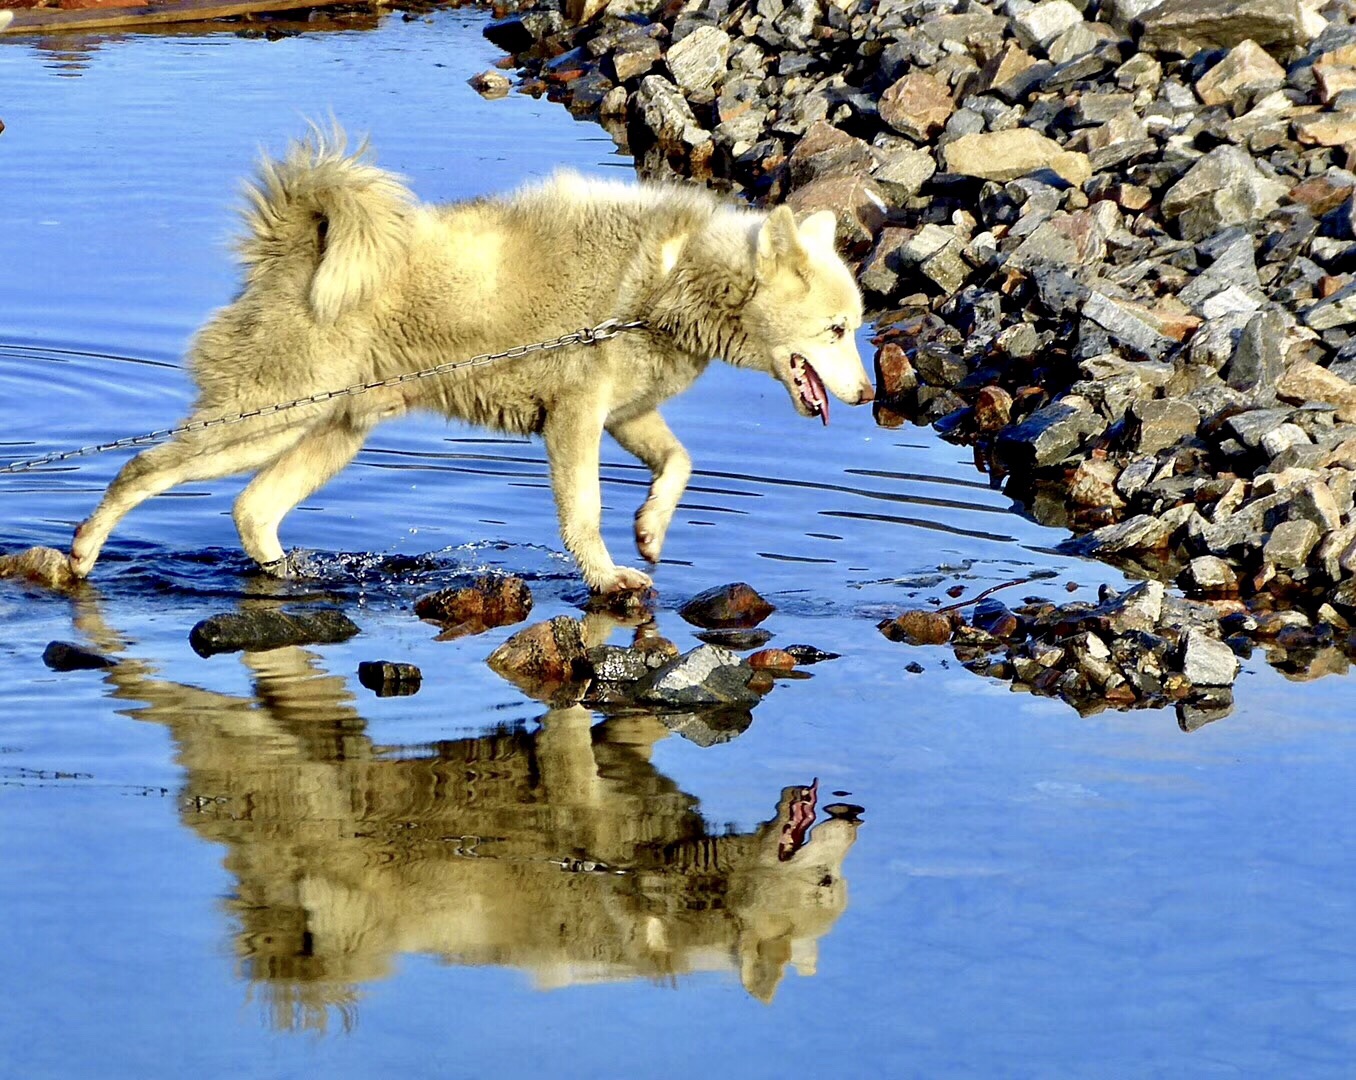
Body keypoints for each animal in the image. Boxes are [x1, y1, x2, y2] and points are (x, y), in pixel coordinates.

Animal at [68, 133, 873, 594]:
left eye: (857, 328)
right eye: (835, 329)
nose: (868, 394)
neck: (668, 280)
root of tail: (294, 248)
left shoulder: (626, 414)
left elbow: (680, 463)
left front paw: (649, 530)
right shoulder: (574, 420)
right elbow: (584, 512)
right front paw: (608, 576)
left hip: (333, 433)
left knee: (251, 509)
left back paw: (288, 578)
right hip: (264, 420)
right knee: (141, 470)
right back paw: (80, 553)